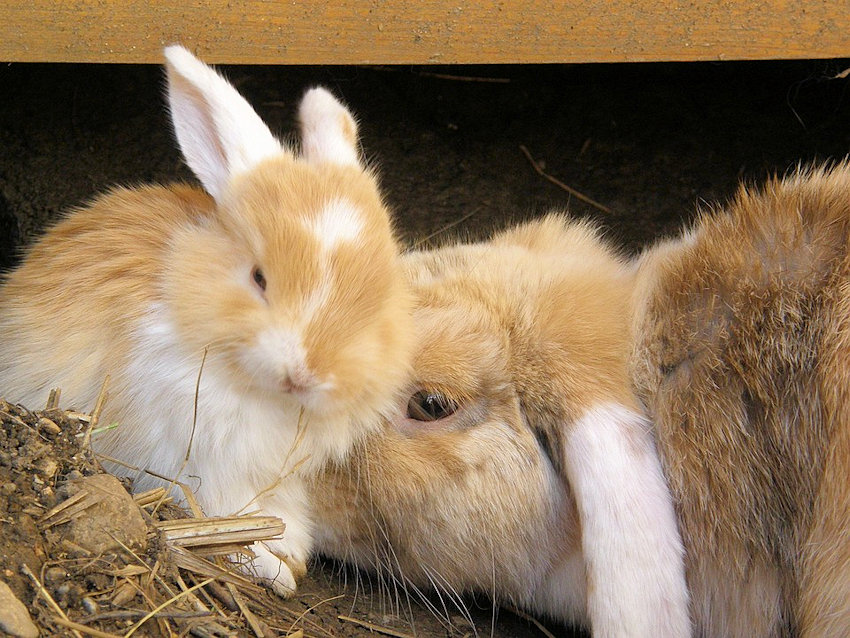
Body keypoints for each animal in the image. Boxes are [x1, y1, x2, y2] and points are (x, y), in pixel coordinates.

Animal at [0, 45, 412, 597]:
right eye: (259, 278)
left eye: (378, 295)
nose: (308, 373)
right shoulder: (197, 466)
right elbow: (225, 524)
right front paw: (277, 571)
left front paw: (292, 550)